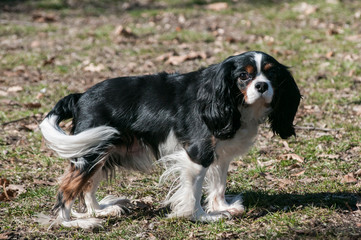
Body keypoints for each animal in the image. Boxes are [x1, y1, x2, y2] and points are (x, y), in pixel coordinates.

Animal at [38, 51, 300, 229]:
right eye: (244, 75)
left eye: (272, 74)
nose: (262, 85)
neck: (228, 100)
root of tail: (80, 97)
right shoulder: (197, 153)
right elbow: (193, 192)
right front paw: (202, 216)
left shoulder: (218, 153)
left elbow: (219, 183)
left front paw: (222, 207)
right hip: (91, 150)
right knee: (67, 188)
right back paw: (71, 223)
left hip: (100, 150)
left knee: (87, 185)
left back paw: (100, 211)